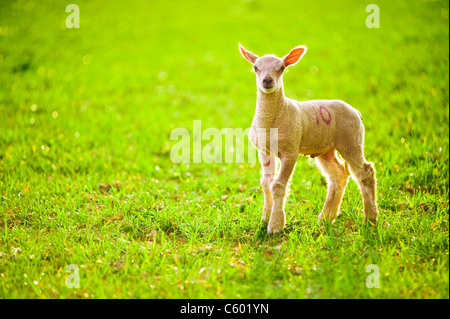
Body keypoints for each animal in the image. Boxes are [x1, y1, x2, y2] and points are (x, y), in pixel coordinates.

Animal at [239, 43, 380, 234]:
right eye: (255, 67)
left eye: (281, 68)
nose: (267, 81)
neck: (274, 117)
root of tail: (356, 111)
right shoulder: (264, 150)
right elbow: (266, 183)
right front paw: (264, 219)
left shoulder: (290, 150)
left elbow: (278, 185)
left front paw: (275, 226)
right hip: (325, 149)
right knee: (338, 176)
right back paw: (326, 218)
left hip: (351, 140)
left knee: (365, 172)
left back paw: (370, 219)